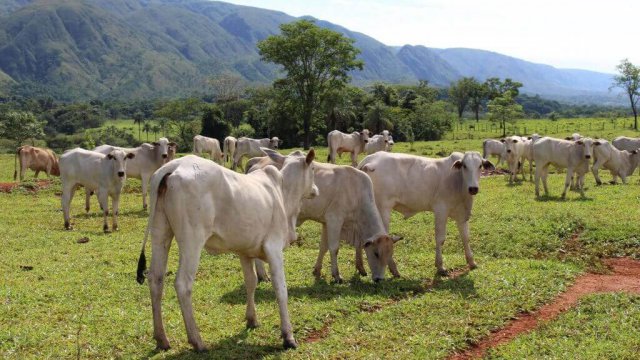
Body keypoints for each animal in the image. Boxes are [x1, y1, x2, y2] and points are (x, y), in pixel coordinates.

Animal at [136, 149, 318, 352]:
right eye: (313, 168)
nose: (315, 190)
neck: (282, 192)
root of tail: (173, 166)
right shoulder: (274, 247)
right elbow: (281, 289)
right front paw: (288, 336)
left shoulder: (245, 251)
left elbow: (251, 282)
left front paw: (252, 319)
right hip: (192, 239)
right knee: (183, 284)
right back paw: (197, 341)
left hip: (160, 232)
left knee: (155, 279)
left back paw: (161, 338)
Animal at [248, 155, 398, 284]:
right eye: (376, 253)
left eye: (390, 254)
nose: (379, 279)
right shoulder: (335, 219)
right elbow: (334, 248)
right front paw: (337, 275)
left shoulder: (326, 222)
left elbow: (323, 247)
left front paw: (317, 270)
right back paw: (263, 275)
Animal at [358, 150, 492, 274]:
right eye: (464, 166)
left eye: (480, 165)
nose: (473, 188)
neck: (458, 181)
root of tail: (369, 159)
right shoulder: (441, 210)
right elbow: (440, 239)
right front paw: (440, 266)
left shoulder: (461, 215)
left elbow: (465, 237)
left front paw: (471, 262)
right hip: (383, 208)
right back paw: (393, 269)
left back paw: (361, 268)